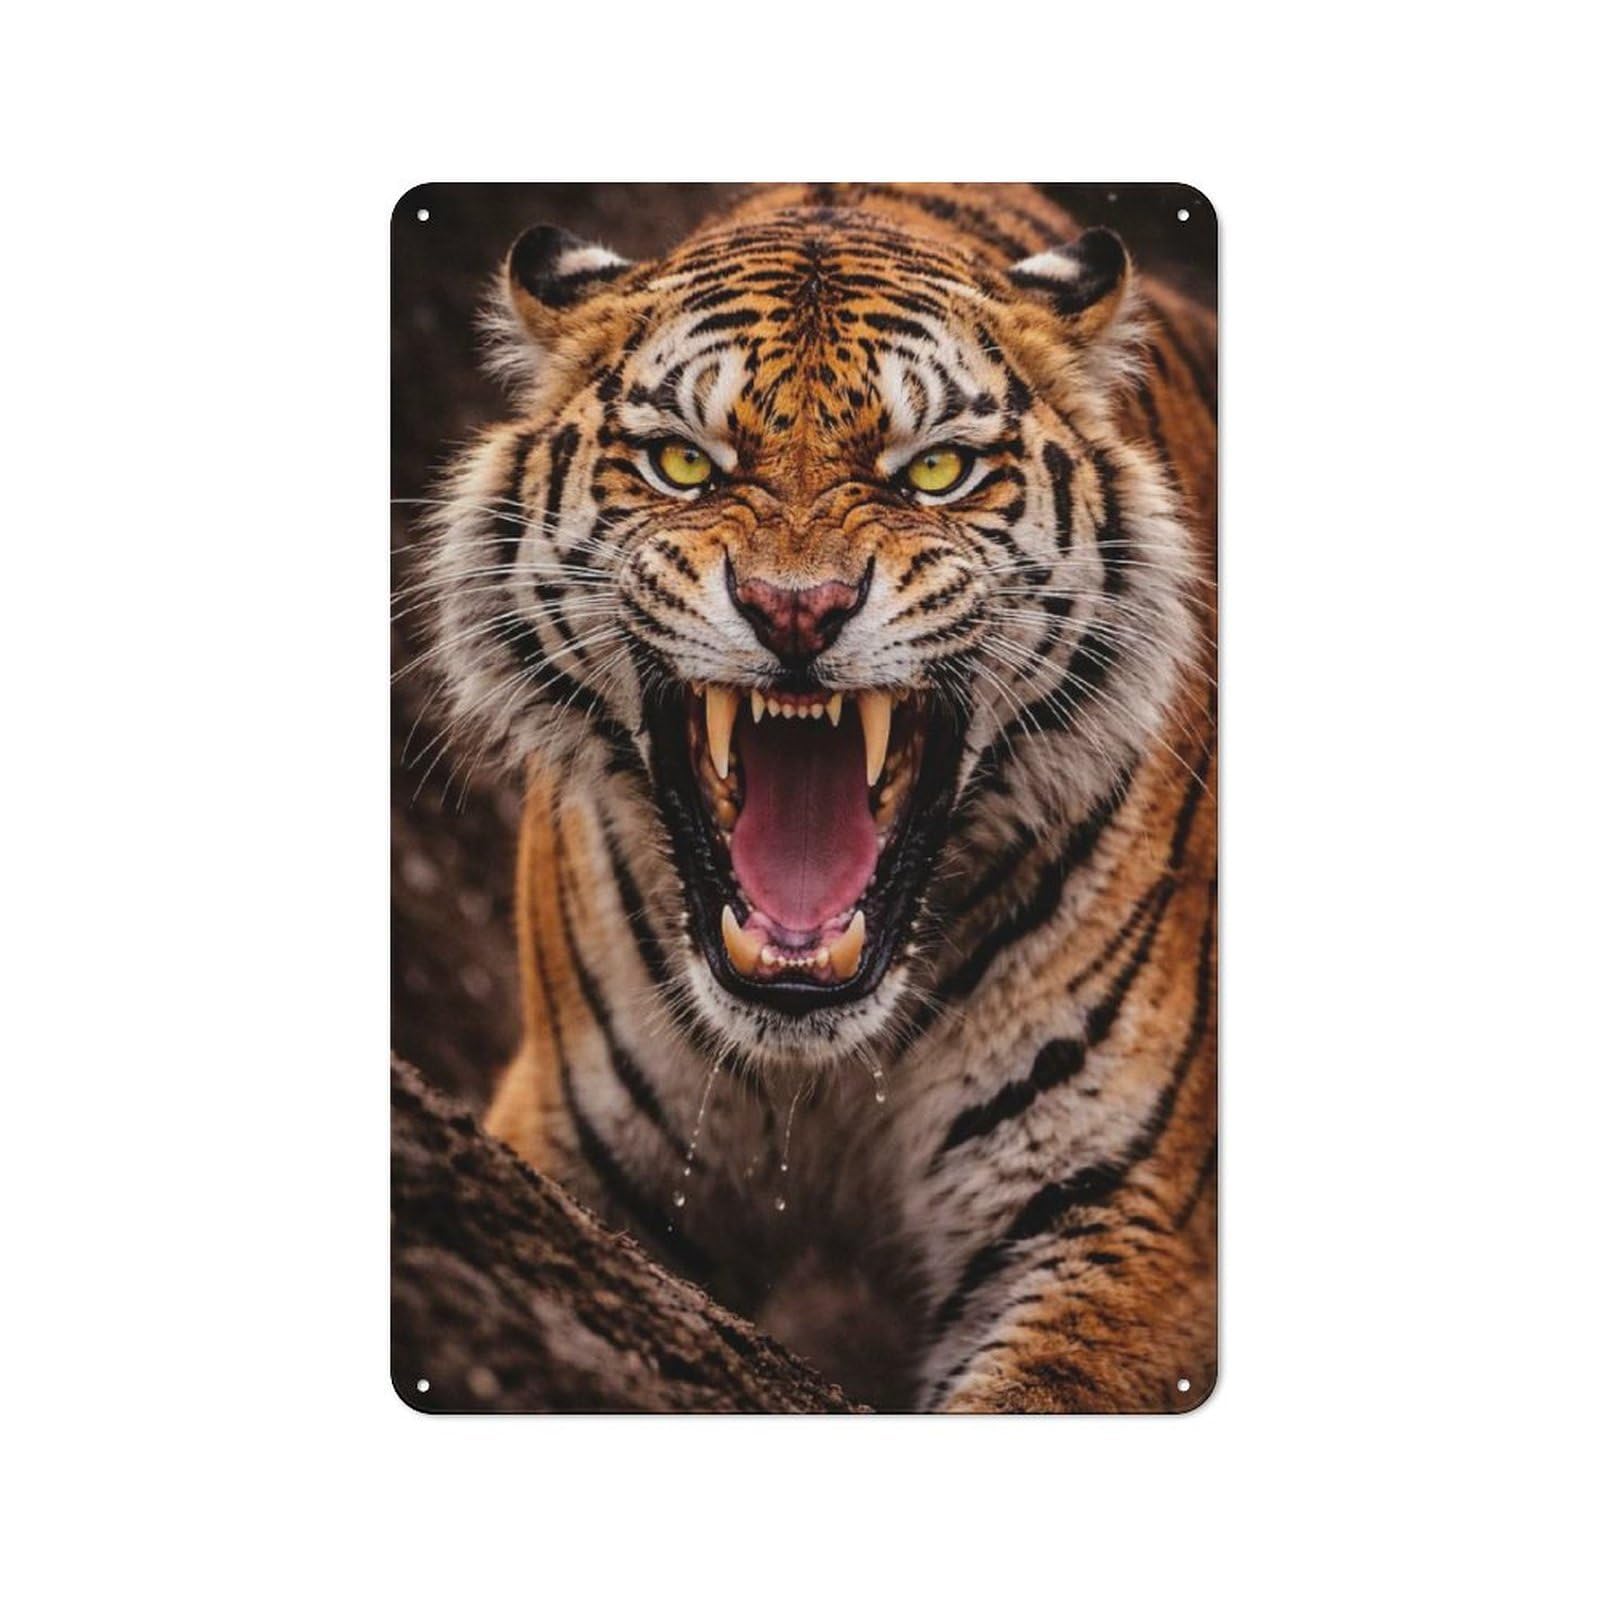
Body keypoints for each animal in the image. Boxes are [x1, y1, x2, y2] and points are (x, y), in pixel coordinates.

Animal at [421, 183, 1217, 1412]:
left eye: (932, 472)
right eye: (681, 464)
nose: (797, 608)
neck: (826, 1071)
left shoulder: (1124, 1218)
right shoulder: (562, 1146)